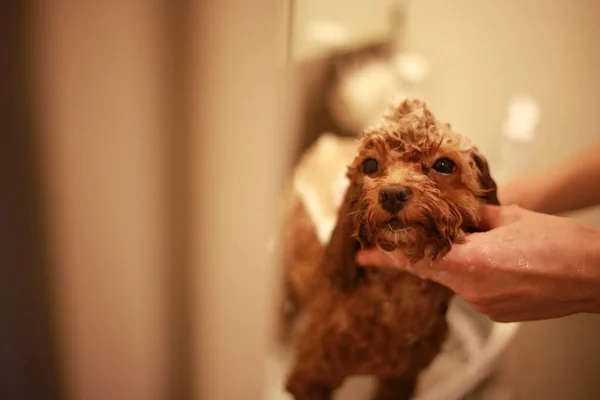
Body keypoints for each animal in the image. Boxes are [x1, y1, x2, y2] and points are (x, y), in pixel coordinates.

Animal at [278, 97, 500, 400]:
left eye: (444, 164)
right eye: (370, 165)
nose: (392, 193)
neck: (400, 294)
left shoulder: (401, 378)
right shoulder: (310, 378)